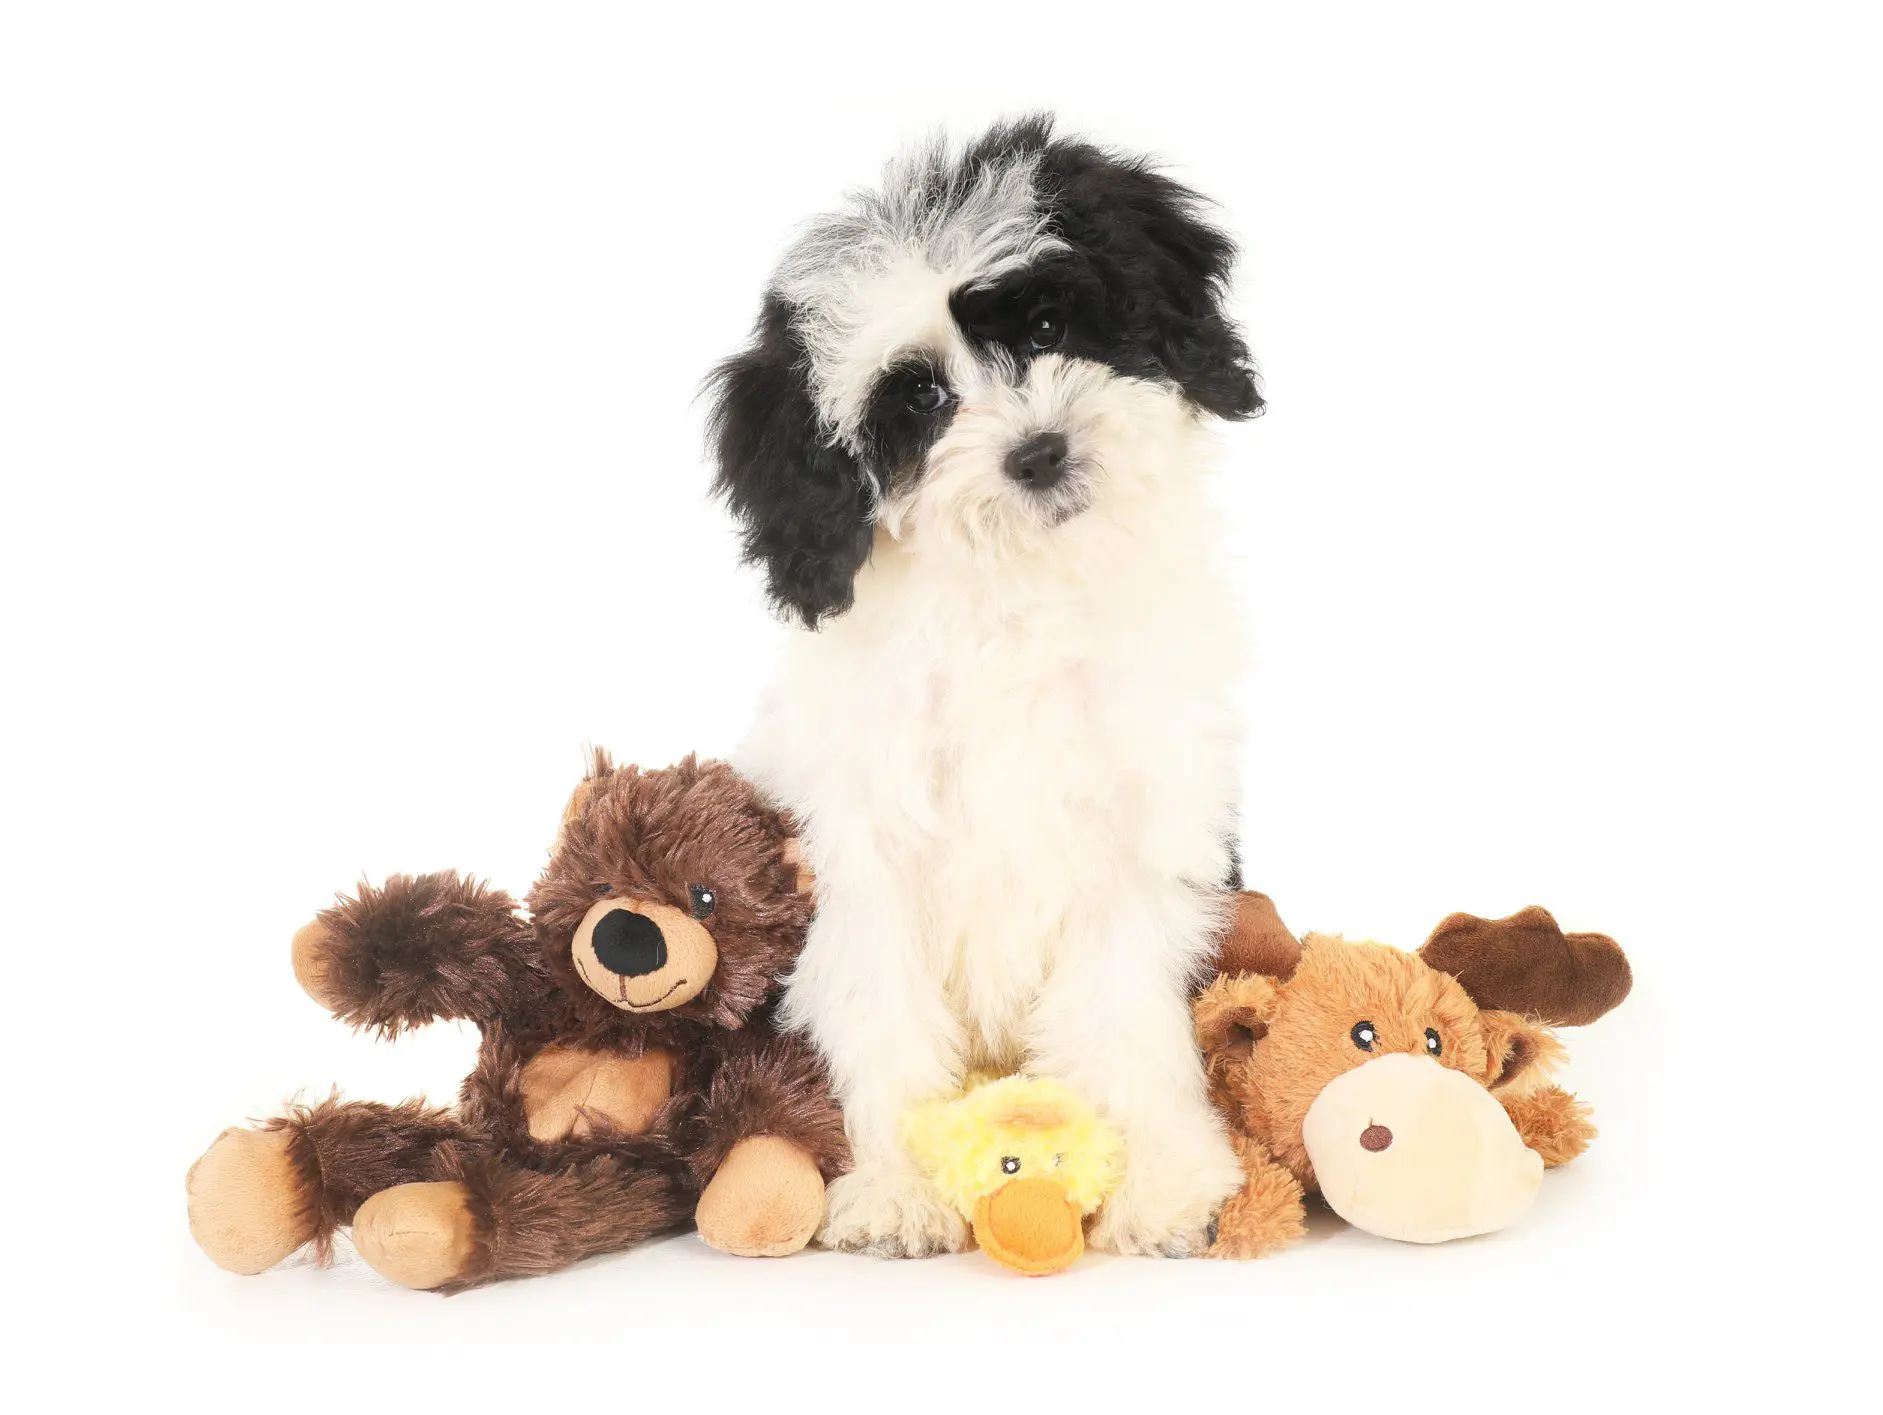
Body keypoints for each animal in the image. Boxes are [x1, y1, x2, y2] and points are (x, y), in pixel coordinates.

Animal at [708, 116, 1265, 1258]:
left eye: (1047, 320)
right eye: (918, 398)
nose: (1037, 451)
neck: (1018, 595)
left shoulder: (1144, 828)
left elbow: (1122, 1012)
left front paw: (1164, 1181)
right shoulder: (857, 850)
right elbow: (880, 1008)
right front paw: (894, 1185)